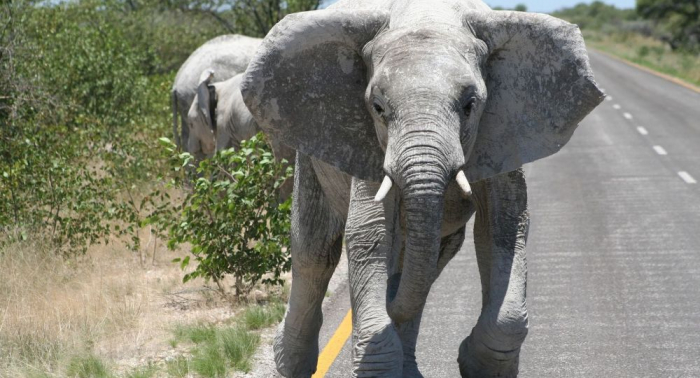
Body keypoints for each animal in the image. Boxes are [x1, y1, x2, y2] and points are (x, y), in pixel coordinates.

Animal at [243, 0, 604, 376]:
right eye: (378, 108)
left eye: (470, 105)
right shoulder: (366, 140)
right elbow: (370, 232)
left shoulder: (504, 129)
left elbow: (504, 225)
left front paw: (475, 362)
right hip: (309, 149)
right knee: (315, 249)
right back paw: (291, 363)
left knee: (427, 263)